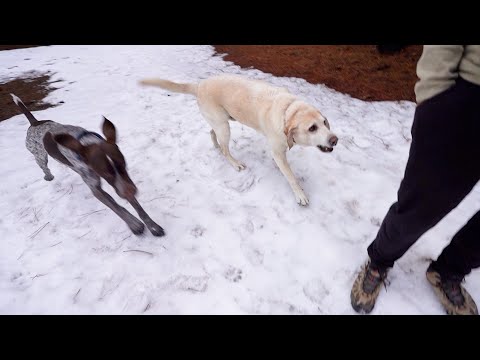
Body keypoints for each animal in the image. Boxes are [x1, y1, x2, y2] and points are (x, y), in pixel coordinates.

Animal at [11, 94, 165, 238]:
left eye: (123, 165)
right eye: (105, 173)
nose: (130, 191)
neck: (84, 141)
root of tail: (35, 122)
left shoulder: (122, 182)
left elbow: (139, 208)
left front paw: (153, 226)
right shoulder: (98, 189)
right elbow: (118, 208)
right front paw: (134, 225)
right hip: (39, 155)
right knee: (43, 166)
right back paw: (48, 176)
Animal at [141, 75, 340, 205]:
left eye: (324, 123)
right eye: (312, 128)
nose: (335, 140)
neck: (288, 110)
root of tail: (199, 85)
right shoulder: (277, 149)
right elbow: (291, 177)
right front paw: (300, 195)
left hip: (221, 122)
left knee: (212, 133)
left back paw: (216, 145)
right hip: (224, 127)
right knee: (225, 149)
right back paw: (235, 163)